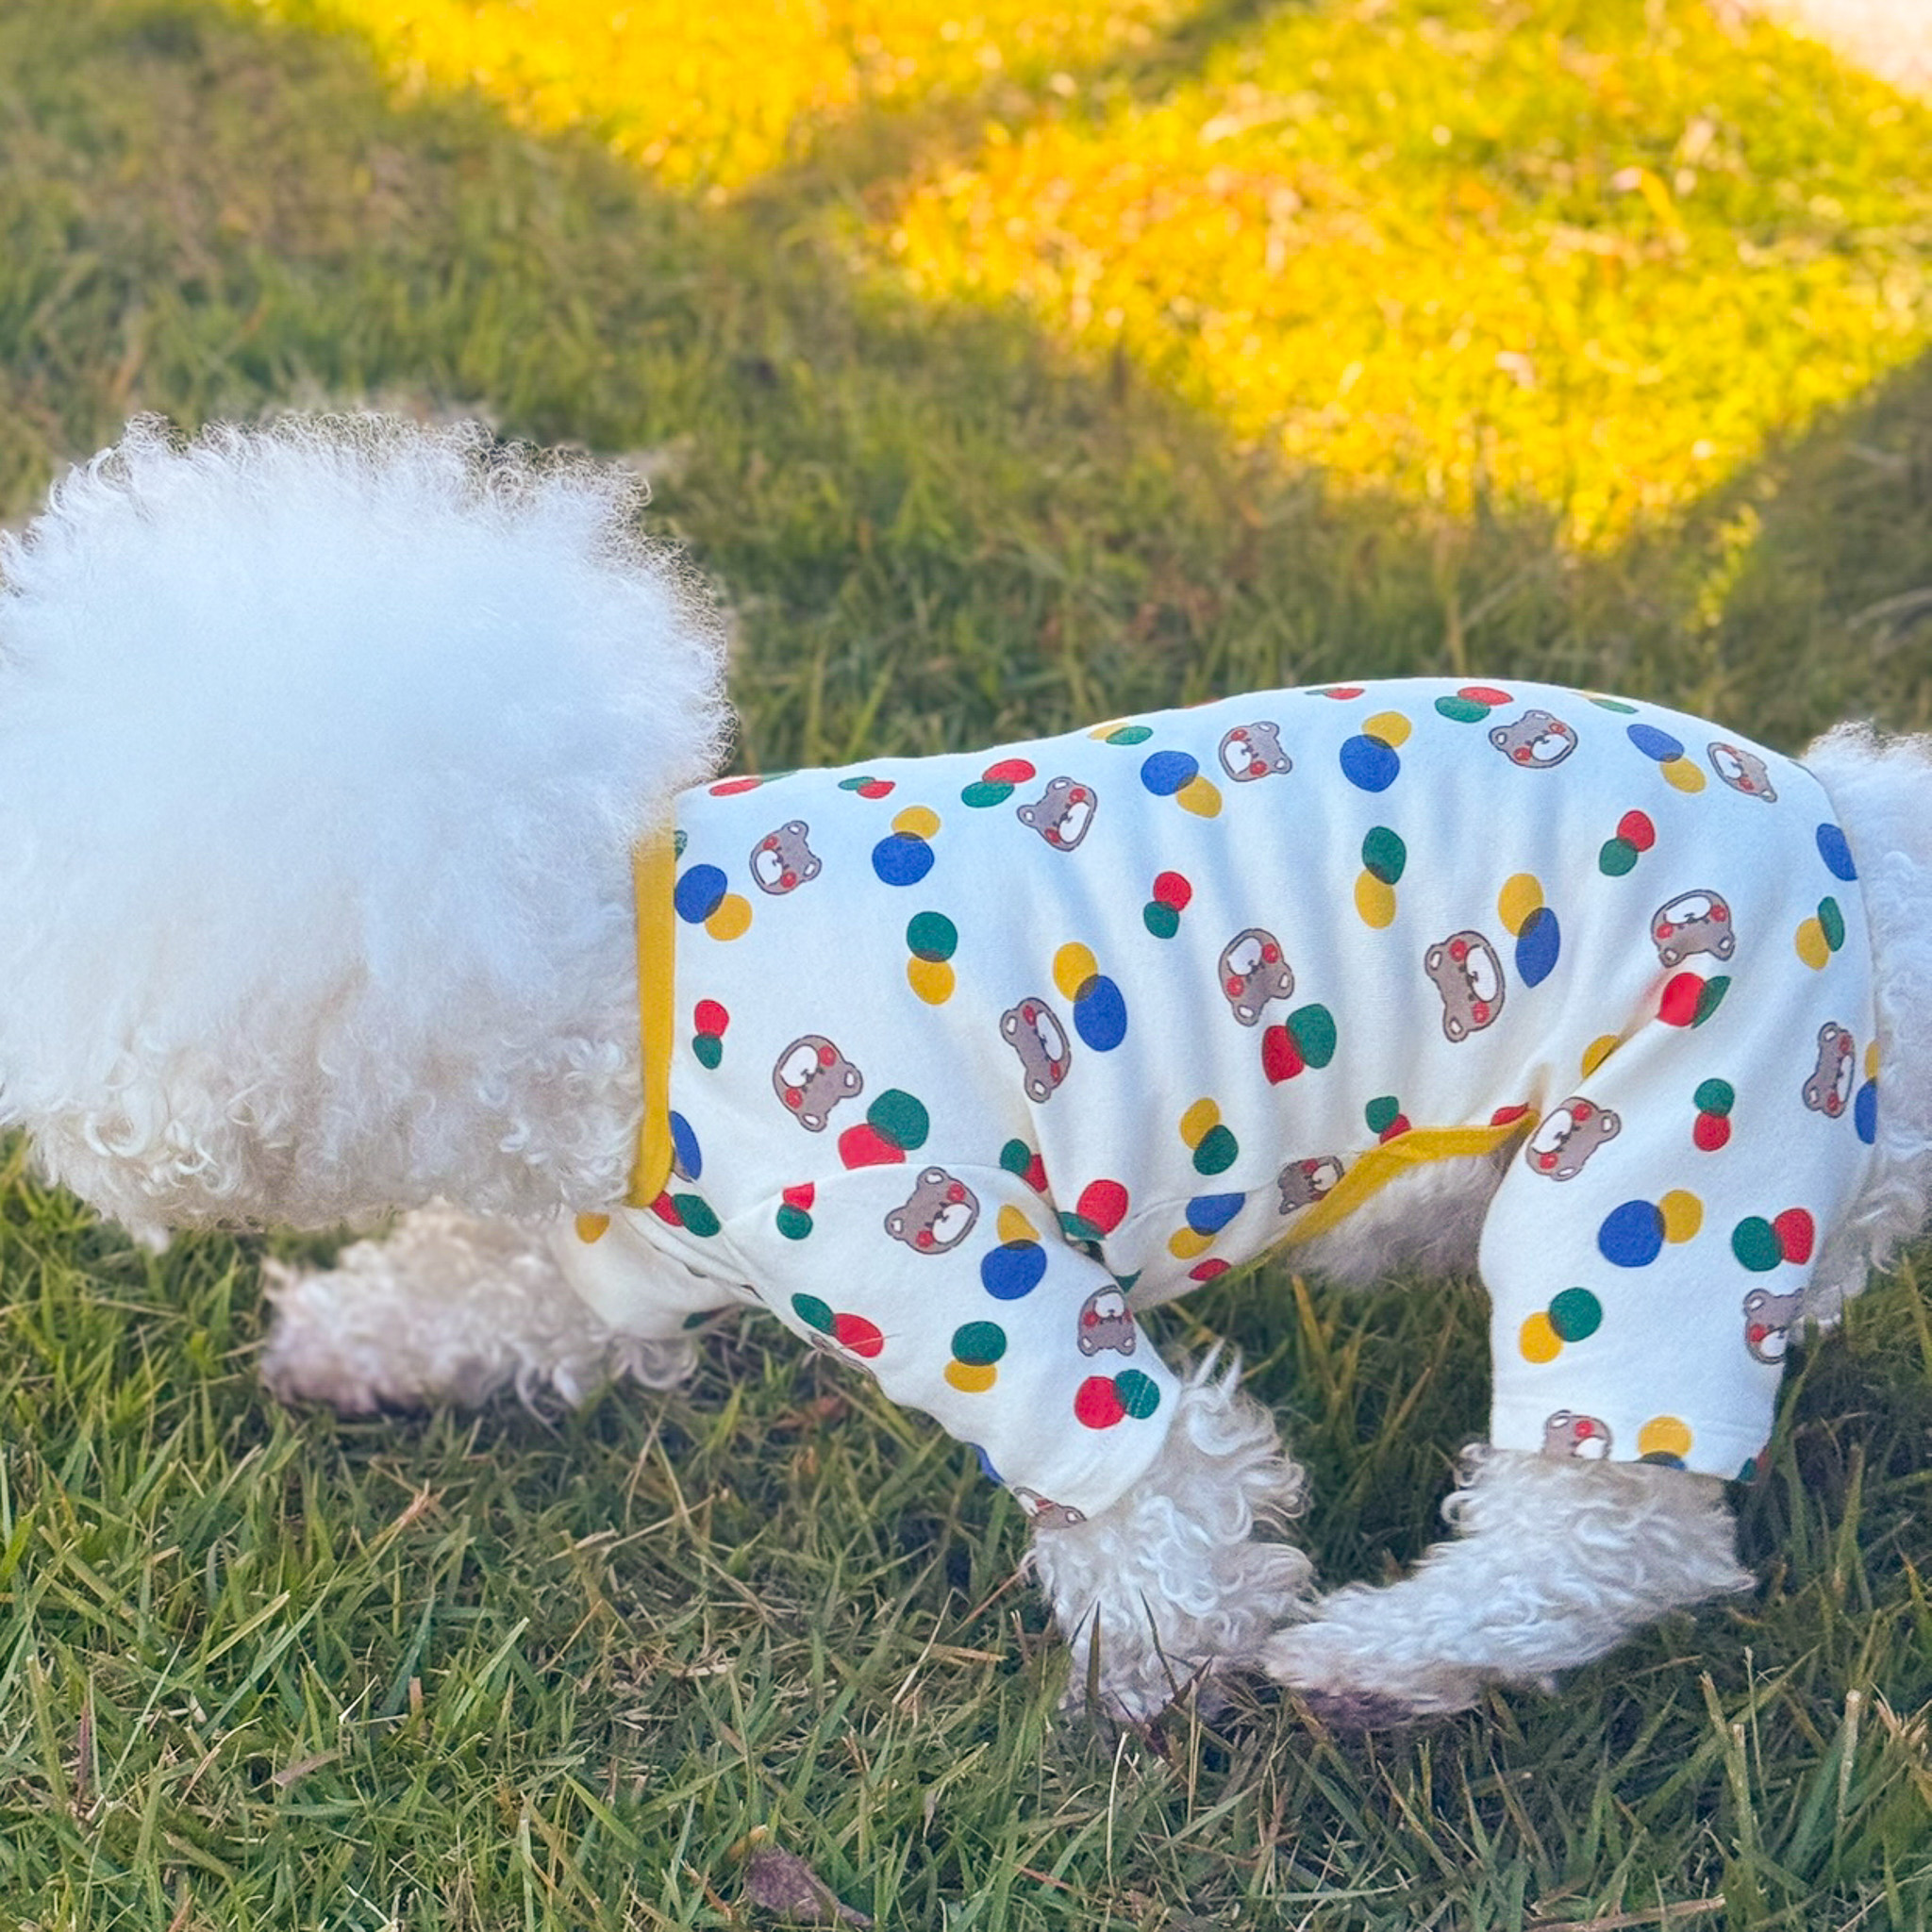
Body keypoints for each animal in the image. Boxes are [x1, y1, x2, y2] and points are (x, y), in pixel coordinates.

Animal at [3, 416, 1928, 1727]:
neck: (616, 973)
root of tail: (1849, 818)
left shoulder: (954, 1272)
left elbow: (1157, 1497)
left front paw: (1162, 1682)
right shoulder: (620, 1243)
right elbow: (488, 1292)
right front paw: (349, 1338)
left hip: (1670, 1151)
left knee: (1607, 1520)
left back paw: (1376, 1661)